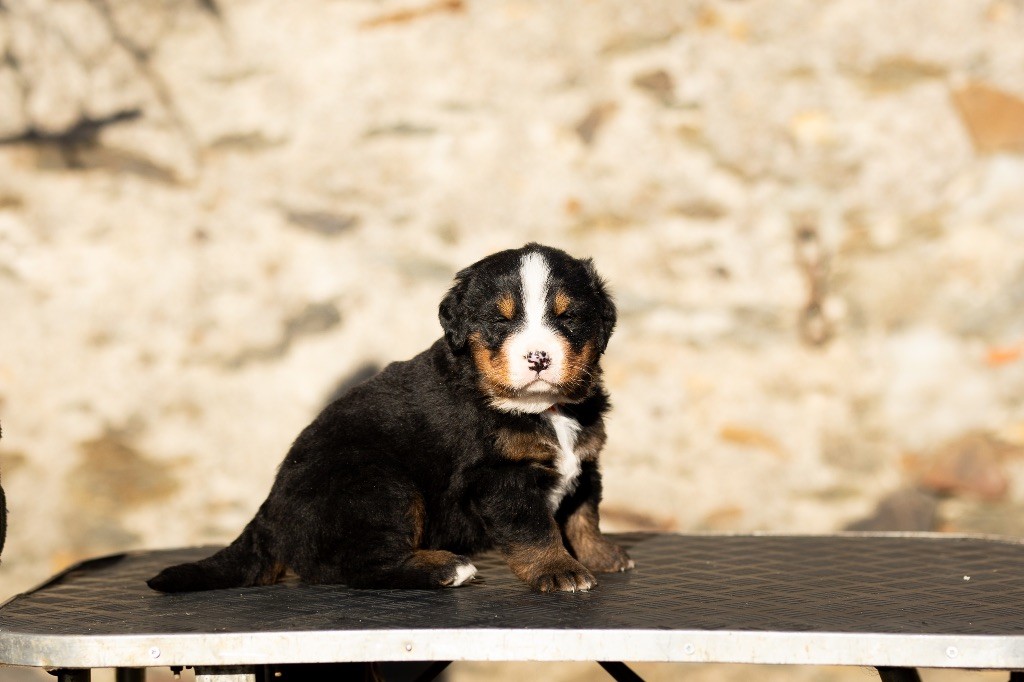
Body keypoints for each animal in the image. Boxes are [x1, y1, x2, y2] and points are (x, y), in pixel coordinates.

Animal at [149, 242, 630, 589]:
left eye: (568, 318)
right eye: (500, 321)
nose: (538, 358)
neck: (543, 408)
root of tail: (270, 509)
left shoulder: (585, 462)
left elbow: (583, 515)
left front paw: (602, 556)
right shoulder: (500, 476)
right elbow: (535, 529)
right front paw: (558, 570)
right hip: (380, 486)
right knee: (354, 566)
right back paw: (447, 569)